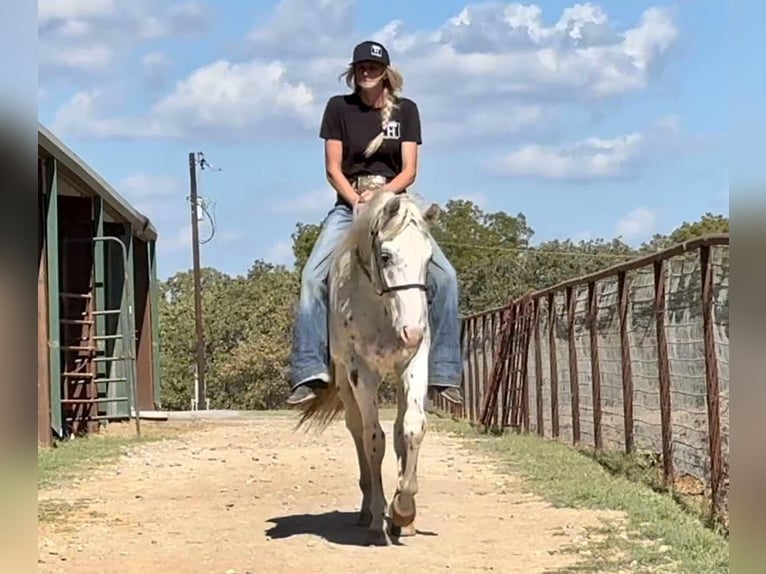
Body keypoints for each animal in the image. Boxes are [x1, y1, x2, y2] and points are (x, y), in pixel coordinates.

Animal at [296, 190, 440, 548]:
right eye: (385, 256)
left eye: (429, 258)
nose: (412, 332)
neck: (381, 309)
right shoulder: (362, 373)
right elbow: (374, 439)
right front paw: (378, 520)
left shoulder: (413, 362)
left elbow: (411, 428)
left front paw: (403, 511)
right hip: (346, 385)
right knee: (357, 430)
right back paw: (366, 511)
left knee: (401, 428)